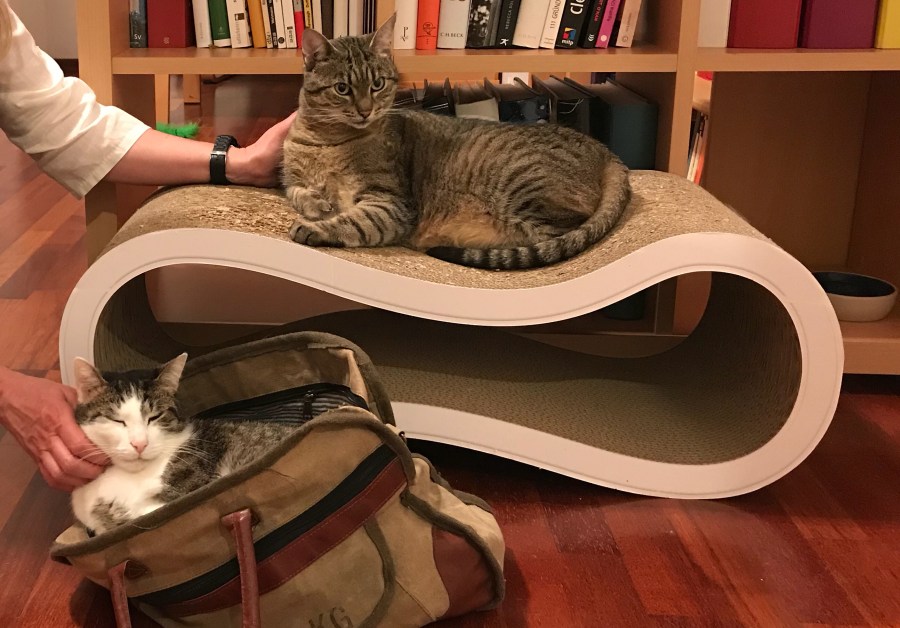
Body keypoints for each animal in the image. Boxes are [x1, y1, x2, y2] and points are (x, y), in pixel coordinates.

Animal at [281, 13, 631, 271]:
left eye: (377, 84)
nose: (366, 110)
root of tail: (605, 151)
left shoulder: (391, 204)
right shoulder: (292, 178)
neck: (326, 139)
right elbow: (296, 191)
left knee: (559, 239)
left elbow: (354, 222)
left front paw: (314, 226)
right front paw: (316, 203)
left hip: (525, 189)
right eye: (342, 89)